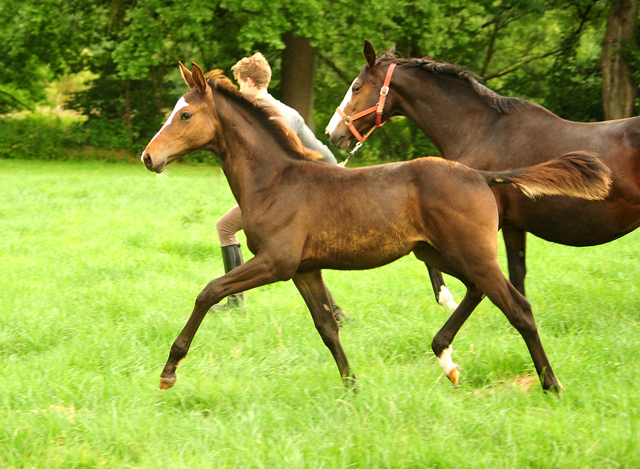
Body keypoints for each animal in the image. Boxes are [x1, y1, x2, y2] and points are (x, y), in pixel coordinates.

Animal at [140, 61, 608, 392]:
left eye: (185, 115)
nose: (148, 157)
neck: (274, 180)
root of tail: (482, 176)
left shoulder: (275, 262)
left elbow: (209, 292)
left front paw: (169, 371)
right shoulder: (305, 269)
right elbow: (327, 327)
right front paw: (352, 387)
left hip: (469, 253)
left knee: (519, 307)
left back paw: (551, 384)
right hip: (438, 252)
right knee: (477, 291)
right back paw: (448, 361)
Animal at [328, 41, 640, 308]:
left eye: (356, 87)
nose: (333, 133)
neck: (482, 130)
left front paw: (447, 298)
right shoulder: (513, 225)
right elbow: (517, 276)